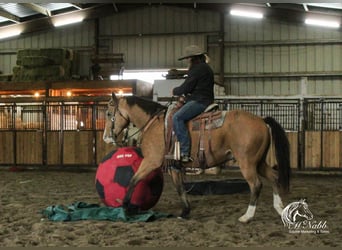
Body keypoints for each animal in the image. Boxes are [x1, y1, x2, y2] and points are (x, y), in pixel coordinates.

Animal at [103, 93, 290, 223]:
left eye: (108, 113)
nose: (106, 138)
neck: (154, 123)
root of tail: (262, 120)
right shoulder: (174, 166)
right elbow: (180, 188)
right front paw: (185, 212)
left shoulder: (151, 161)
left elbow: (133, 180)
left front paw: (125, 206)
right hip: (258, 162)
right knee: (273, 176)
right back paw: (280, 208)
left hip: (247, 163)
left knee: (256, 185)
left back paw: (247, 216)